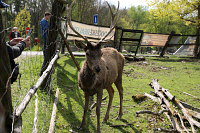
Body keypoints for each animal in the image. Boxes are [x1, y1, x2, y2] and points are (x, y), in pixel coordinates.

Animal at [67, 0, 123, 132]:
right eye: (87, 53)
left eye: (101, 53)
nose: (98, 69)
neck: (90, 84)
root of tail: (121, 54)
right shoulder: (85, 90)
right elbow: (85, 108)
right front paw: (81, 126)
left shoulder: (99, 89)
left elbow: (97, 110)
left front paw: (98, 129)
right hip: (108, 82)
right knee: (112, 92)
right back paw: (106, 118)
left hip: (119, 76)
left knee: (121, 91)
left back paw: (119, 115)